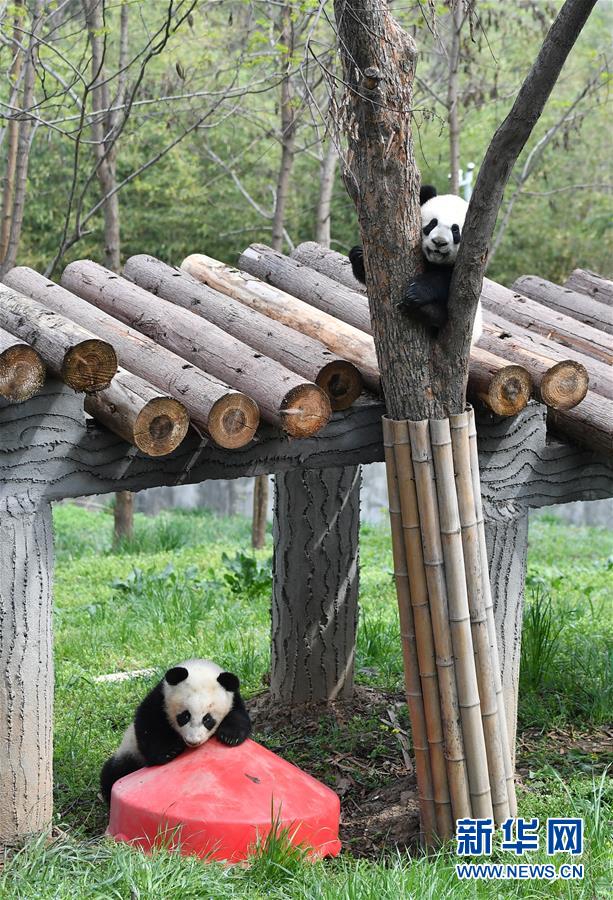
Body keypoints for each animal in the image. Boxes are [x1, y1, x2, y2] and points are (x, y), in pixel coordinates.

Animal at [100, 656, 251, 804]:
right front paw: (168, 752)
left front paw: (230, 737)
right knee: (114, 771)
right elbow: (149, 724)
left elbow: (239, 716)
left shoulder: (234, 698)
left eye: (207, 719)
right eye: (185, 716)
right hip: (130, 751)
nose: (193, 741)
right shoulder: (160, 699)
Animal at [346, 183, 480, 342]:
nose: (439, 242)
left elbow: (448, 281)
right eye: (432, 223)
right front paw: (358, 255)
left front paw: (416, 292)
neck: (433, 261)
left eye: (455, 231)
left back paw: (427, 311)